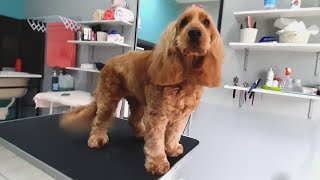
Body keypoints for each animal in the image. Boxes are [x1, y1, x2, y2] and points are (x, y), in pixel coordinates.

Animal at [61, 5, 224, 174]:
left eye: (206, 22)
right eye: (184, 22)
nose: (194, 32)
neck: (186, 75)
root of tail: (109, 62)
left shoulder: (181, 116)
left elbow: (174, 134)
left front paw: (172, 149)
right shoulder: (157, 114)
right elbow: (156, 141)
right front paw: (157, 162)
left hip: (138, 102)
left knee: (133, 119)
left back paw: (141, 132)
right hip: (108, 98)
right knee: (100, 120)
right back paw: (97, 139)